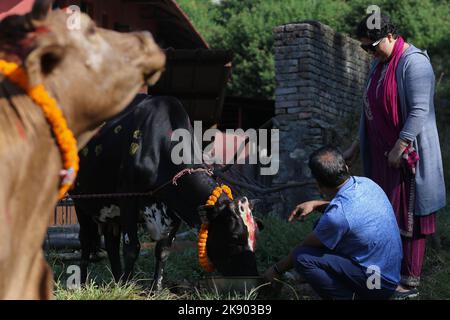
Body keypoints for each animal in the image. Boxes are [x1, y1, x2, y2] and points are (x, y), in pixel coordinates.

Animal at [69, 94, 260, 288]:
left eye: (254, 234)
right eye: (234, 236)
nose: (253, 276)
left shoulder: (175, 205)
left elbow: (163, 250)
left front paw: (155, 288)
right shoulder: (128, 196)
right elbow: (132, 247)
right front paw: (127, 287)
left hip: (111, 212)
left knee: (111, 244)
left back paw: (117, 280)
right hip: (80, 201)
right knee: (86, 239)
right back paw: (83, 282)